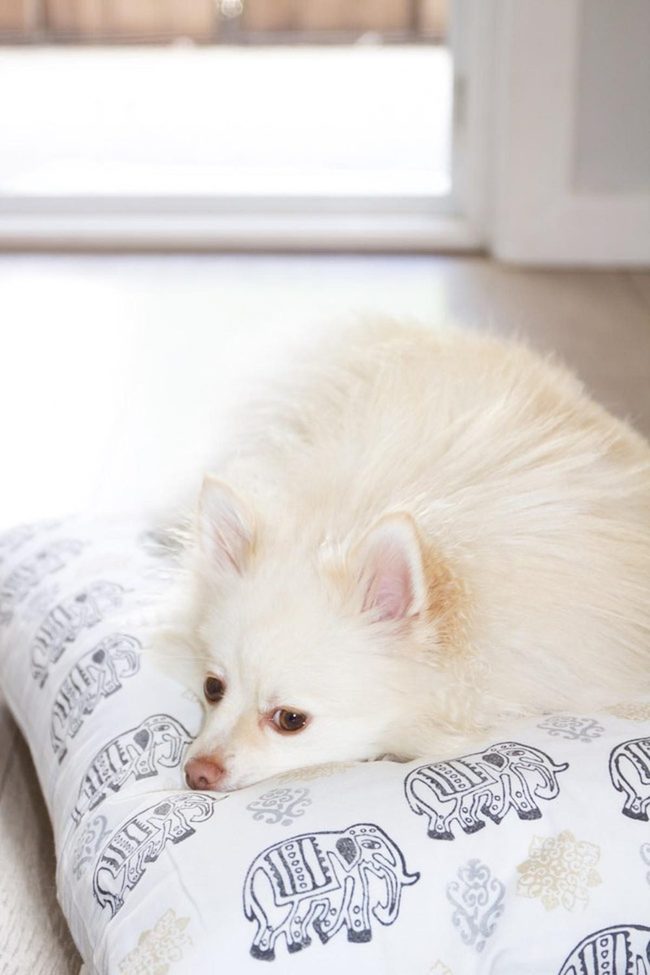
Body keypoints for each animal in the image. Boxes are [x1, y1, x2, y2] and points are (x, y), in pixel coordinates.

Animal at [243, 822, 420, 961]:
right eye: (372, 845)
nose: (377, 907)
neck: (344, 834)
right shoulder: (338, 868)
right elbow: (342, 897)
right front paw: (323, 930)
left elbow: (354, 899)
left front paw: (356, 936)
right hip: (270, 896)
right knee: (273, 924)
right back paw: (264, 954)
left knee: (296, 916)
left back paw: (298, 946)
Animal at [404, 741, 569, 840]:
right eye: (518, 754)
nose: (538, 789)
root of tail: (411, 780)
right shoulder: (499, 775)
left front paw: (489, 813)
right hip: (439, 802)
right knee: (443, 815)